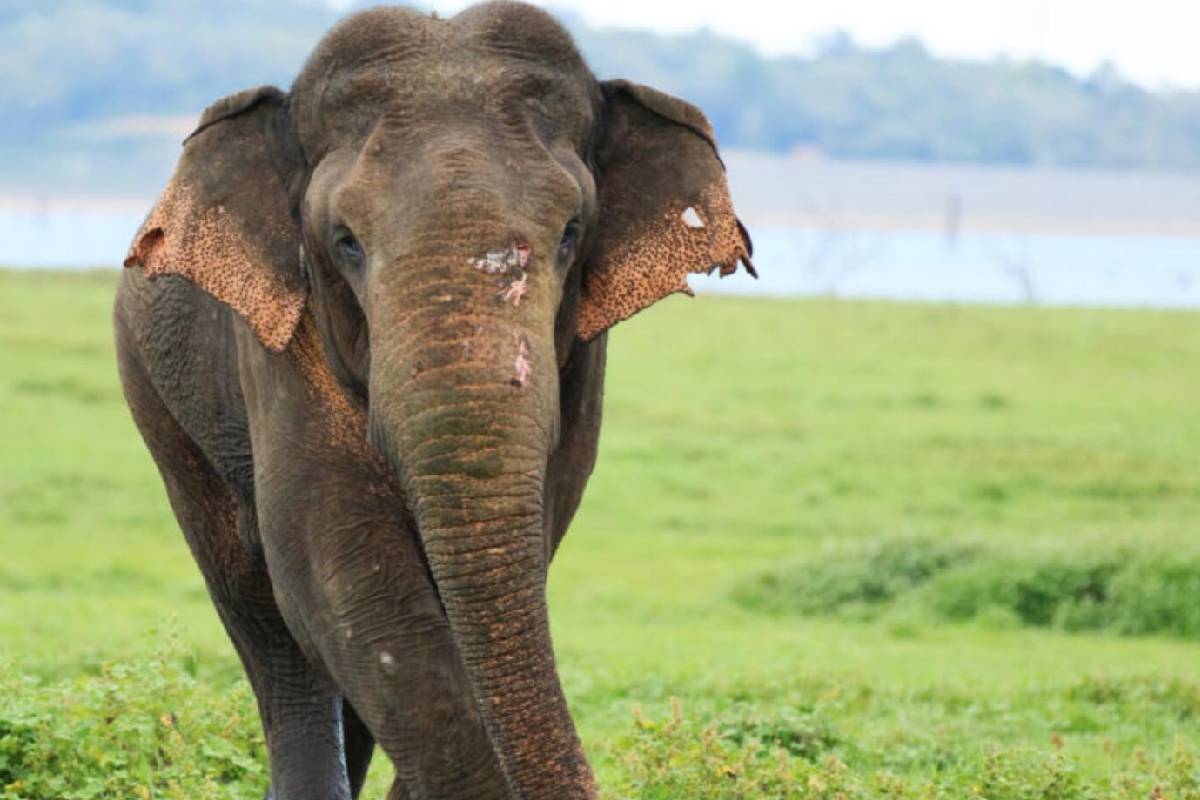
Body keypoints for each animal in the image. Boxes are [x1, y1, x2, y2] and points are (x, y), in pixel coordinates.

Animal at [113, 3, 753, 798]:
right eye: (346, 241)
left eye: (572, 232)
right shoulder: (282, 343)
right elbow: (341, 571)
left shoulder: (582, 357)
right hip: (158, 399)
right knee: (262, 615)